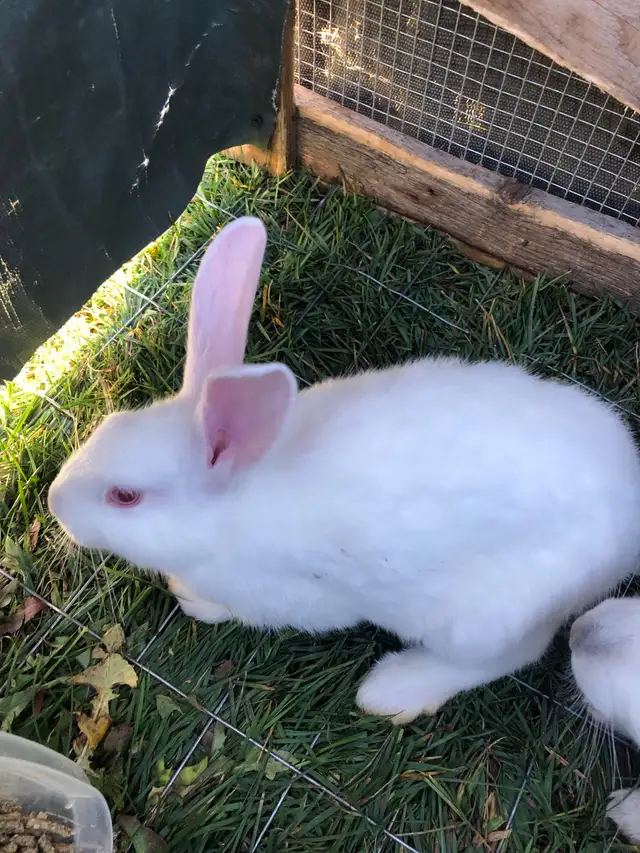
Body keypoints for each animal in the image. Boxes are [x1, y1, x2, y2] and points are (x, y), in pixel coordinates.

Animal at [48, 216, 640, 724]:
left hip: (481, 617)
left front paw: (195, 599)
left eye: (125, 496)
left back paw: (394, 689)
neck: (234, 502)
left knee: (513, 655)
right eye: (109, 425)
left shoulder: (293, 597)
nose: (55, 502)